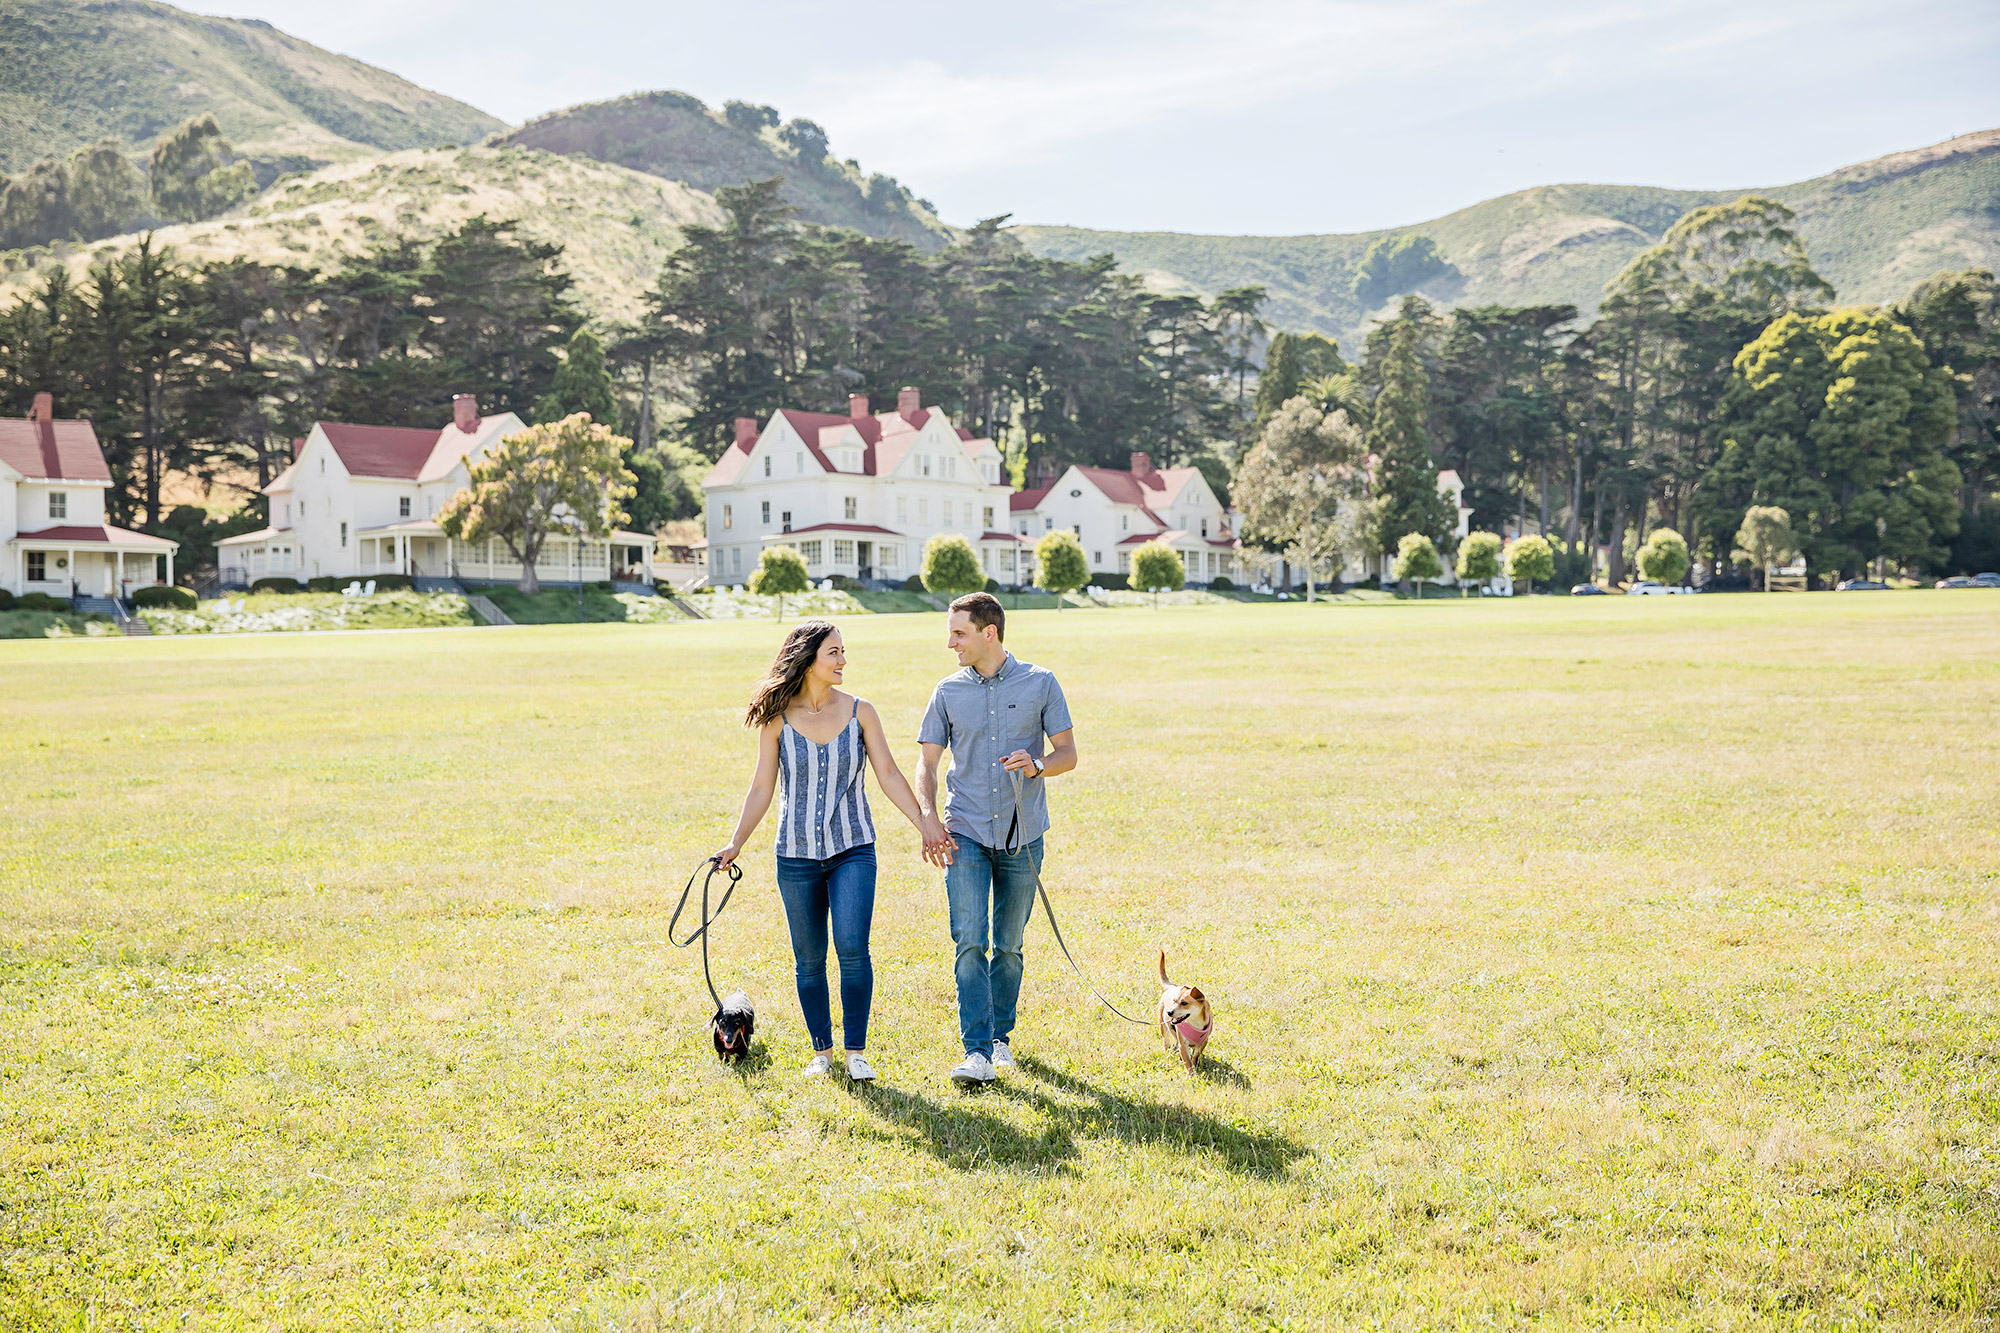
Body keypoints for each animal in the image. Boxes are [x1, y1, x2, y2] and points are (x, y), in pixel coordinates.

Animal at [1168, 944, 1208, 1072]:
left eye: (1184, 1003)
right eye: (1174, 1001)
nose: (1169, 1012)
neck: (1195, 1022)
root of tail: (1171, 987)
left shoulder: (1204, 1041)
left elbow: (1196, 1054)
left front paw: (1195, 1063)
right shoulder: (1183, 1044)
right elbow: (1187, 1061)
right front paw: (1192, 1073)